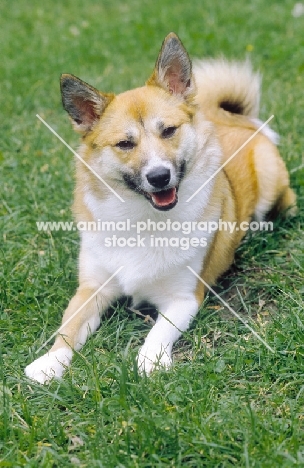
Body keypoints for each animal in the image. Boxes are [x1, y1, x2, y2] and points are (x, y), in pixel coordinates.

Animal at [25, 33, 296, 384]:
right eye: (125, 143)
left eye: (168, 130)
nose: (158, 176)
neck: (144, 220)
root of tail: (234, 119)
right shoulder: (92, 288)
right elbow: (68, 327)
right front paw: (50, 361)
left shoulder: (184, 297)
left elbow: (159, 330)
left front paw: (149, 361)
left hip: (270, 184)